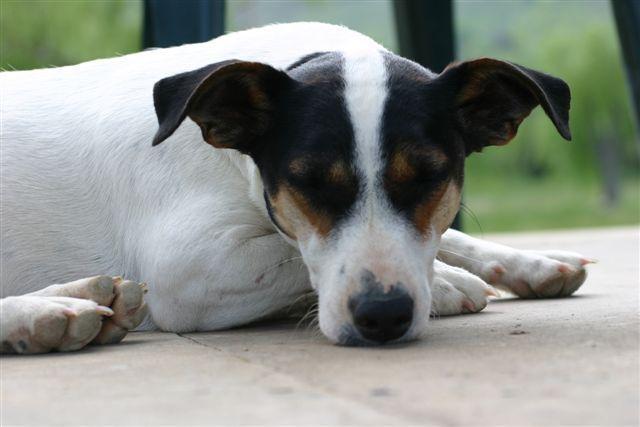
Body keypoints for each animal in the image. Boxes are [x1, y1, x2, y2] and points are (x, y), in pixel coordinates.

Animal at [0, 21, 592, 352]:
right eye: (308, 182)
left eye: (428, 177)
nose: (383, 317)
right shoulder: (185, 270)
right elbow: (290, 256)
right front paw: (447, 284)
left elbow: (451, 236)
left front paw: (529, 263)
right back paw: (49, 315)